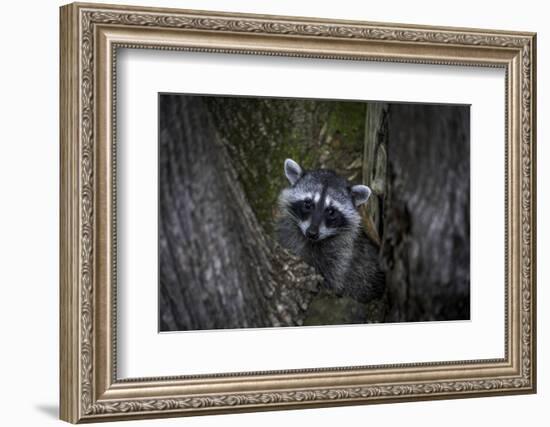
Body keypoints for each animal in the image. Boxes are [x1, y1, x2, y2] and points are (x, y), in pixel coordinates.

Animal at [278, 159, 386, 302]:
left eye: (331, 211)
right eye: (308, 204)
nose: (312, 233)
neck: (312, 242)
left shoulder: (342, 257)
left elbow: (334, 279)